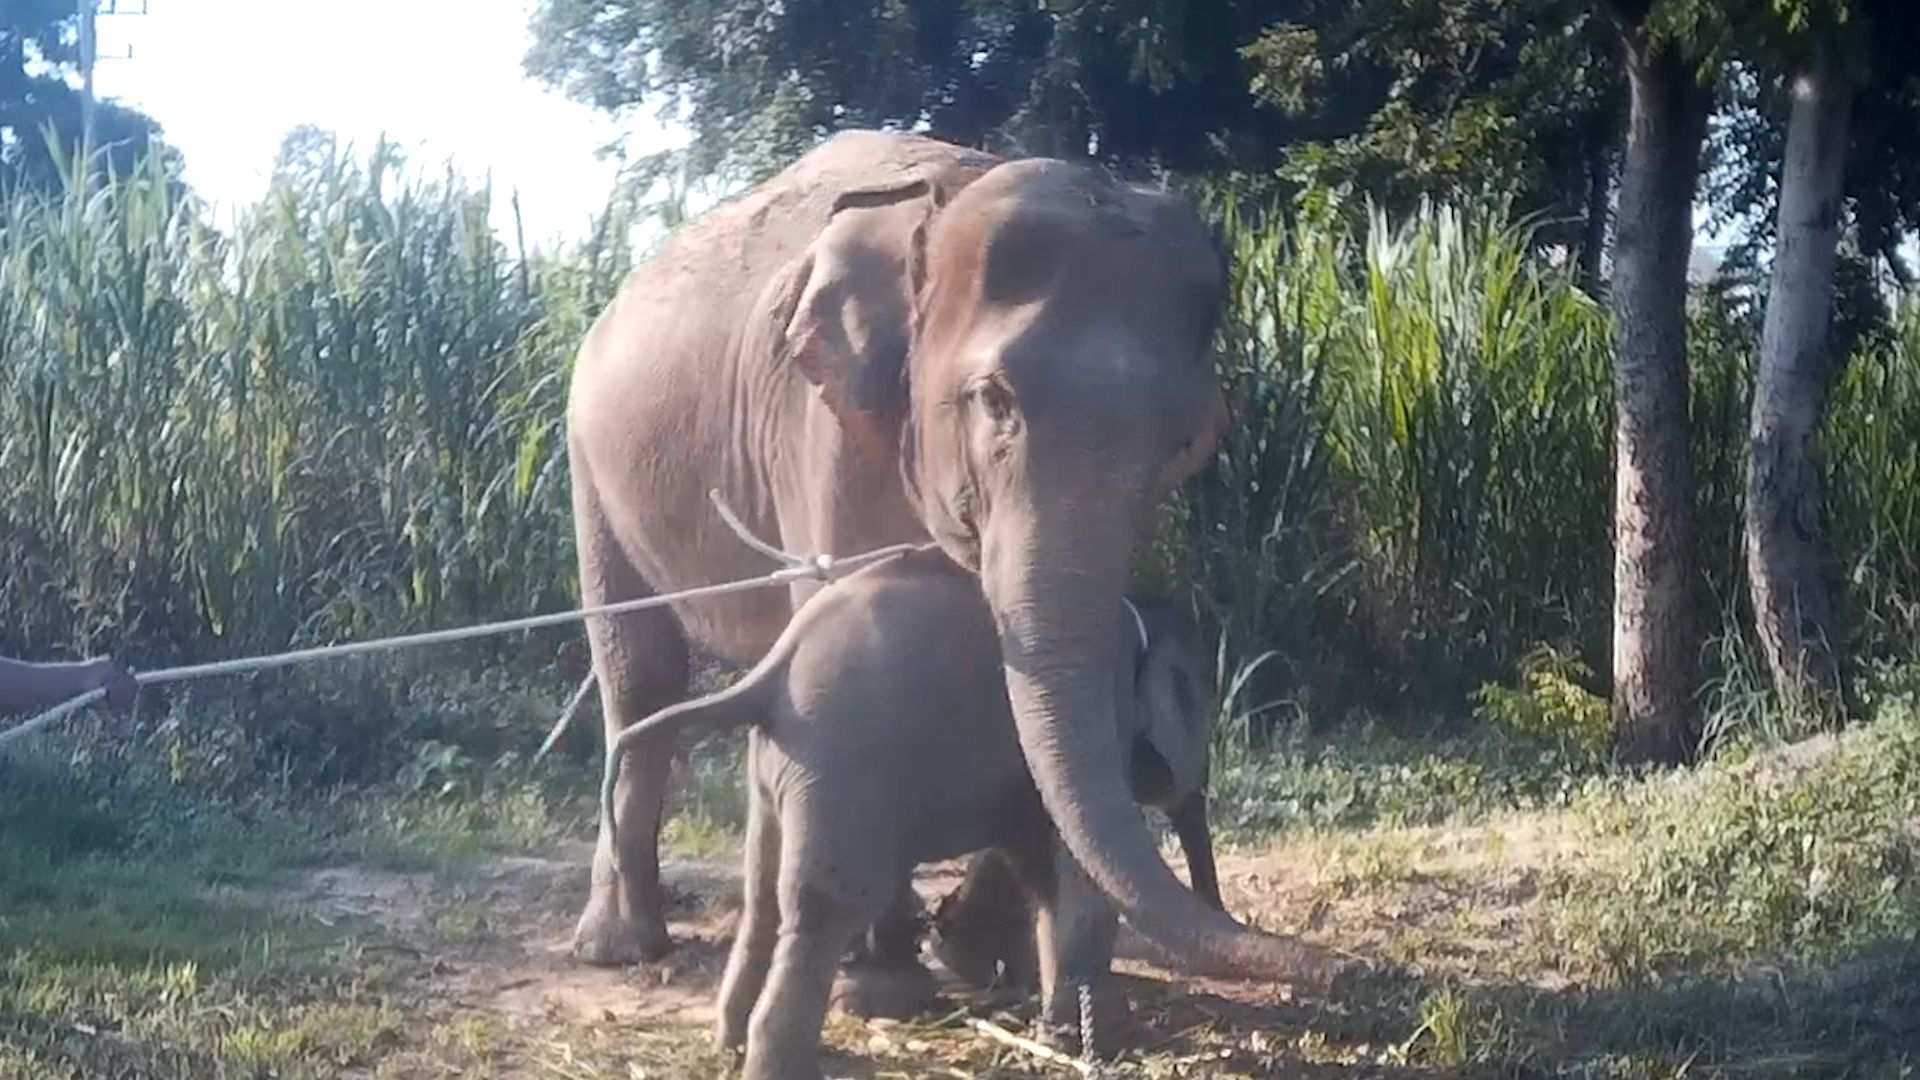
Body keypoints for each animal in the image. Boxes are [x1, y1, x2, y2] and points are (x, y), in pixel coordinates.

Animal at [564, 127, 1342, 990]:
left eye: (1185, 441)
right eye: (993, 401)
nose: (1338, 964)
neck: (945, 202)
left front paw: (970, 954)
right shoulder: (821, 428)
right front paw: (887, 976)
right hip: (590, 462)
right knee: (640, 673)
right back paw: (623, 947)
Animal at [598, 550, 1222, 1077]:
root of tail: (770, 672)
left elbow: (1045, 873)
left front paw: (1063, 1032)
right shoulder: (1099, 722)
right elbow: (1077, 878)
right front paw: (1100, 1040)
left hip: (778, 768)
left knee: (763, 897)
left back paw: (728, 1044)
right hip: (840, 767)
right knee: (827, 906)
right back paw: (778, 1063)